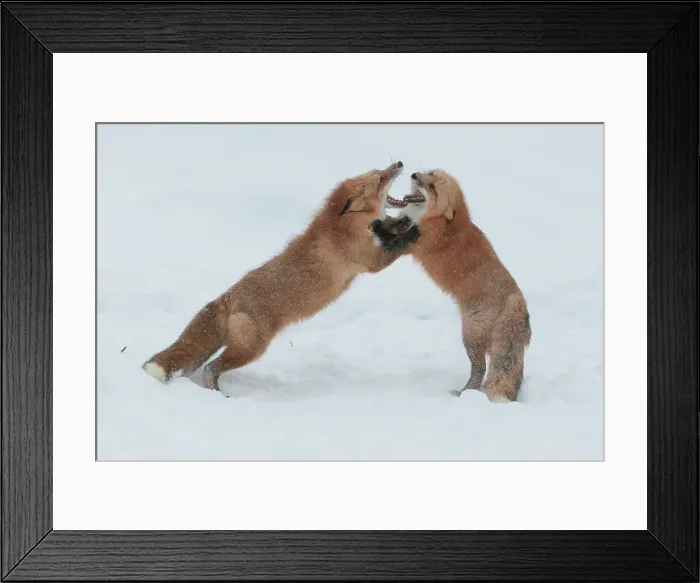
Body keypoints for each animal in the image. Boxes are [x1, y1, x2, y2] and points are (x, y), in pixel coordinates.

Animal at [143, 161, 420, 392]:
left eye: (380, 171)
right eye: (380, 178)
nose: (399, 163)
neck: (342, 225)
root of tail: (229, 295)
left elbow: (391, 228)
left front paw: (405, 220)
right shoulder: (370, 260)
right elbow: (398, 245)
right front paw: (415, 230)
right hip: (252, 349)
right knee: (211, 368)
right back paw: (217, 392)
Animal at [372, 169, 531, 403]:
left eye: (433, 187)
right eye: (428, 174)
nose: (414, 175)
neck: (434, 219)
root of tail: (515, 297)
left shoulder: (409, 243)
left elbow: (391, 236)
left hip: (470, 336)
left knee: (479, 369)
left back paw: (464, 393)